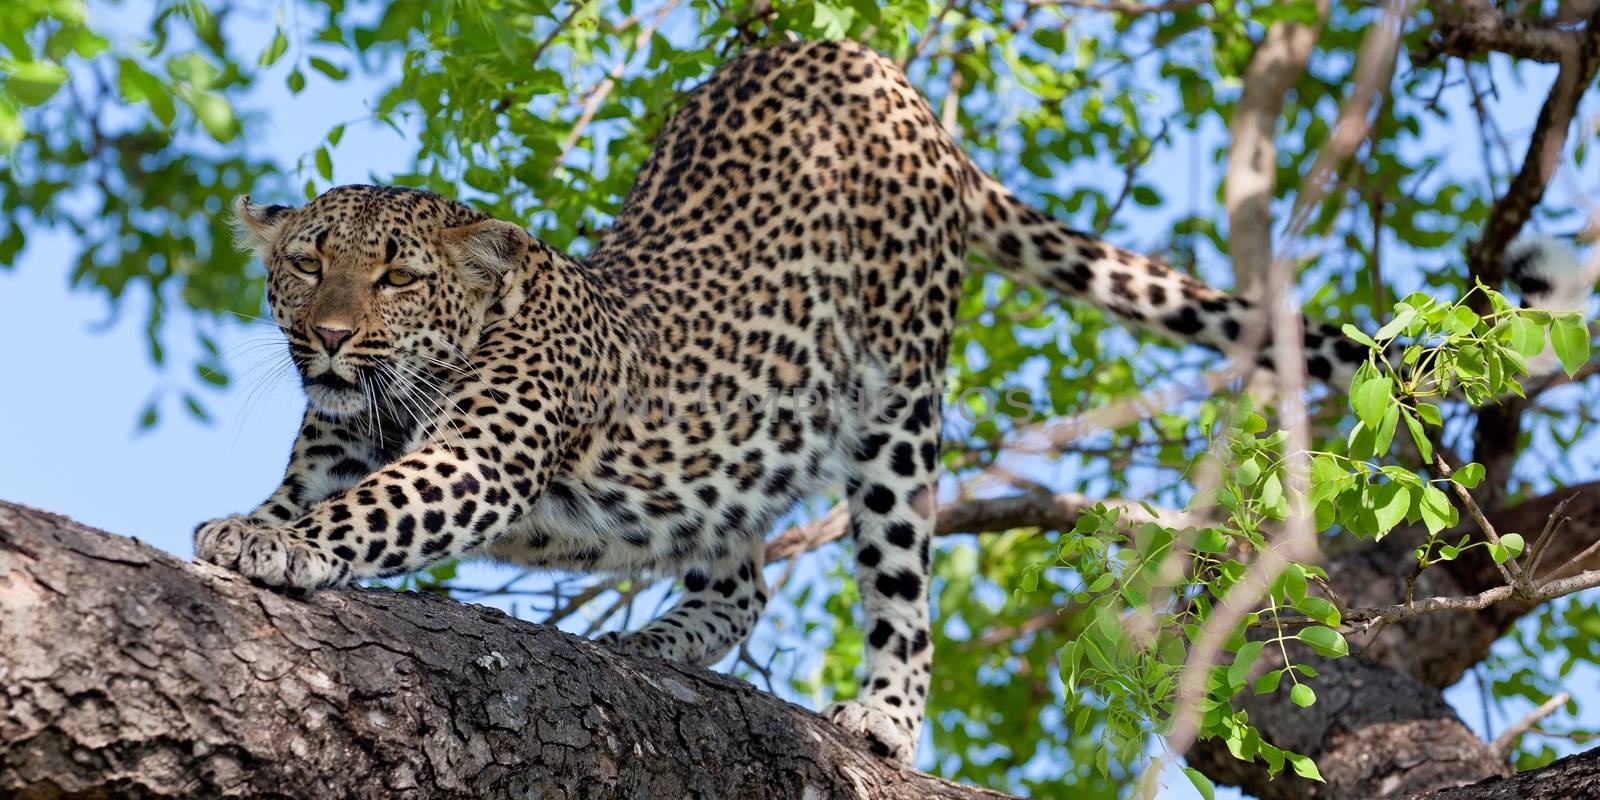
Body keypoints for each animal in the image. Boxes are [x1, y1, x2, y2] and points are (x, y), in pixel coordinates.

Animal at [193, 37, 1593, 761]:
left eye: (396, 272)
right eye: (306, 261)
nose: (326, 334)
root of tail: (864, 62)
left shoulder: (481, 452)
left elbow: (377, 508)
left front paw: (258, 543)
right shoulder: (334, 437)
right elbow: (322, 487)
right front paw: (256, 523)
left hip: (897, 400)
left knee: (901, 574)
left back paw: (883, 714)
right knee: (740, 576)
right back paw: (655, 642)